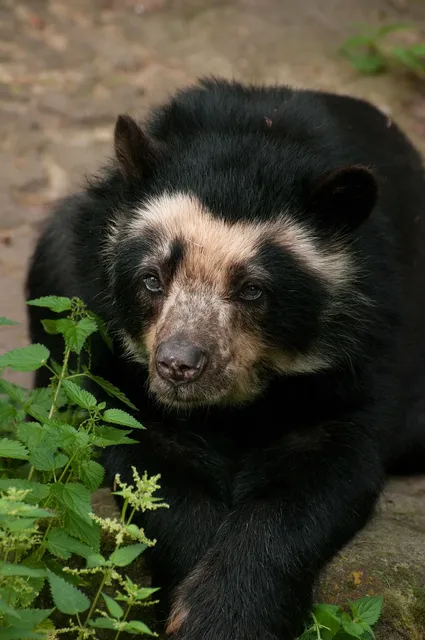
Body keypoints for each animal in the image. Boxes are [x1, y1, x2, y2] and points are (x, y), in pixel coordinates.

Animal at [26, 78, 425, 639]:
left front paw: (229, 615)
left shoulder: (366, 350)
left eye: (253, 290)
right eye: (152, 279)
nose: (178, 365)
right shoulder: (113, 359)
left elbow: (321, 475)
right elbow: (149, 460)